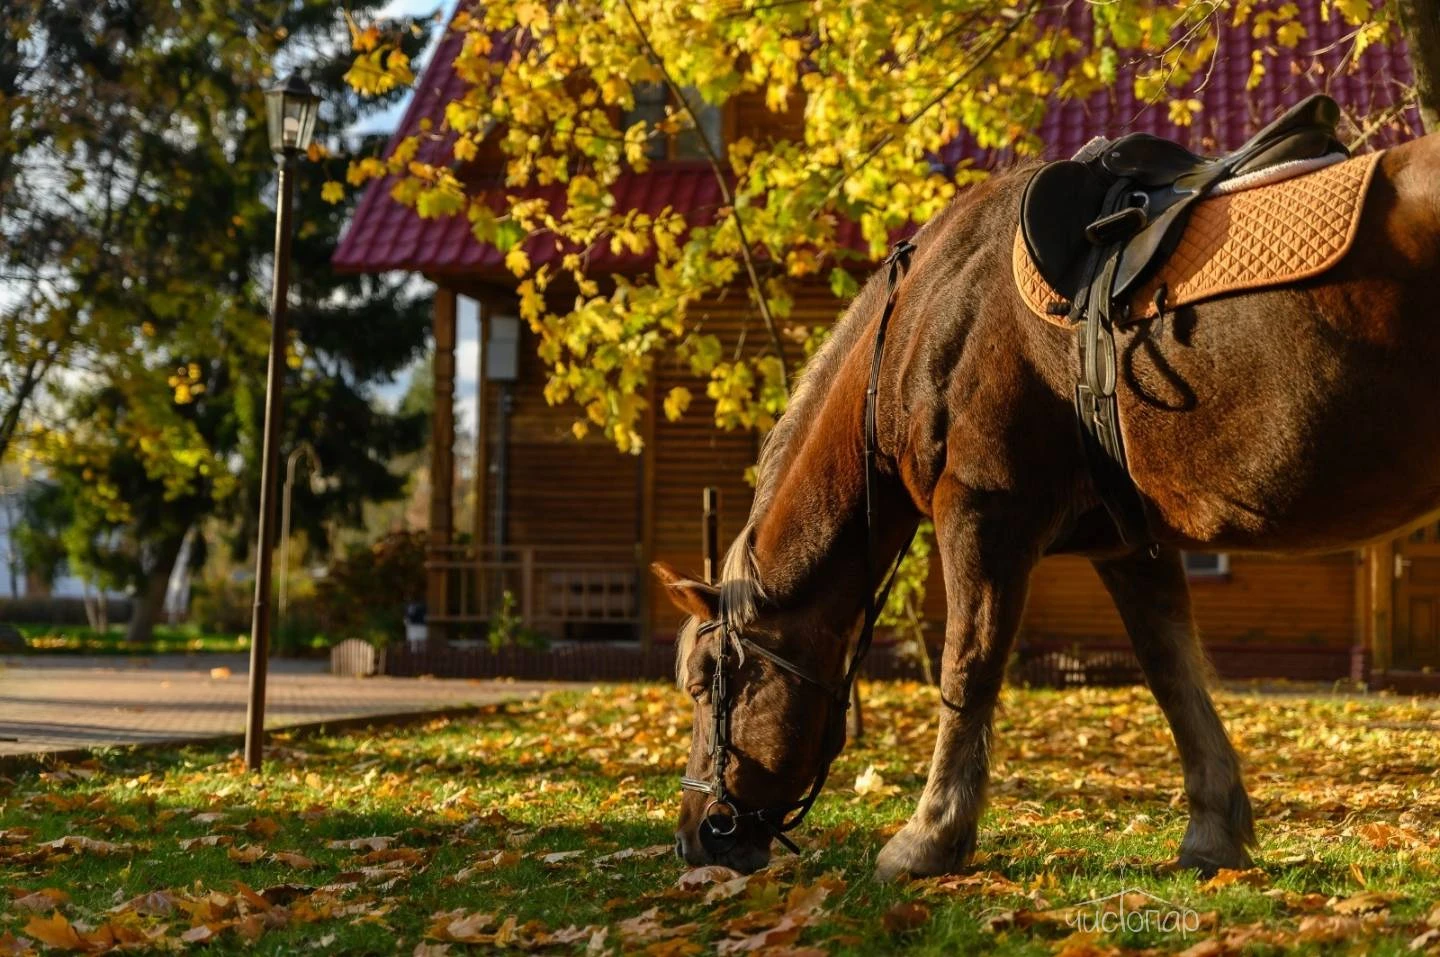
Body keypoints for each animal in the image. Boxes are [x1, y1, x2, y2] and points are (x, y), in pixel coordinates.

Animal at [653, 128, 1440, 880]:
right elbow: (1173, 673)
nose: (696, 837)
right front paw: (1214, 831)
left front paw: (929, 838)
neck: (929, 316)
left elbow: (967, 667)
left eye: (707, 682)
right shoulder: (1131, 546)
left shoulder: (982, 514)